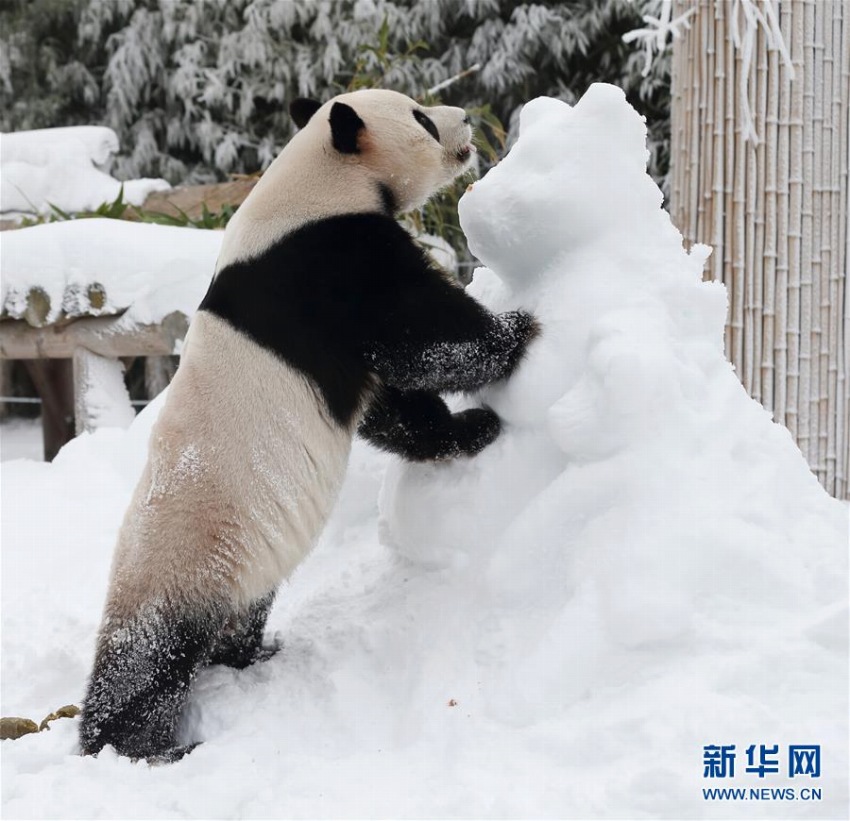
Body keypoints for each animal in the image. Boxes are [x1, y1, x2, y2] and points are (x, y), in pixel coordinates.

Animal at [76, 89, 532, 764]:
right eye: (422, 120)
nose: (467, 121)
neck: (318, 177)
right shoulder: (330, 263)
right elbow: (419, 335)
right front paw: (516, 335)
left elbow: (390, 405)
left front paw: (461, 428)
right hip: (182, 560)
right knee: (148, 658)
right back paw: (139, 748)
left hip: (239, 567)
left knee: (237, 620)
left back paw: (253, 655)